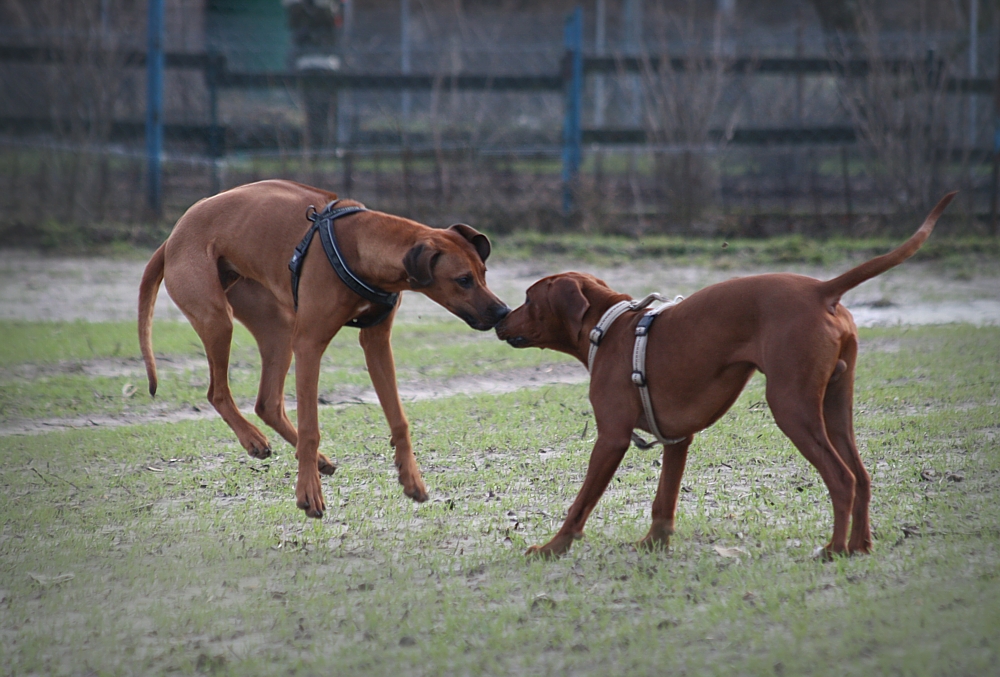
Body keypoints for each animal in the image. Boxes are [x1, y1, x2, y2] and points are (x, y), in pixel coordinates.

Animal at [139, 180, 508, 516]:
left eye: (484, 272)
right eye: (463, 280)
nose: (502, 311)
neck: (361, 246)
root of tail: (173, 236)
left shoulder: (376, 342)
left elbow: (399, 419)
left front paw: (411, 478)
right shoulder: (309, 344)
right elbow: (310, 427)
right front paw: (307, 493)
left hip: (277, 328)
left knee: (267, 403)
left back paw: (318, 460)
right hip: (218, 318)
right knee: (217, 391)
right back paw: (255, 440)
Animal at [496, 193, 956, 556]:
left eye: (528, 298)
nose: (499, 316)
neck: (608, 328)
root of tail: (821, 290)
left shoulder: (611, 438)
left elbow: (581, 503)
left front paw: (553, 547)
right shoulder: (677, 439)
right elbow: (663, 502)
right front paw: (653, 544)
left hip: (791, 406)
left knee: (842, 479)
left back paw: (834, 549)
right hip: (836, 406)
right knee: (861, 476)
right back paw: (860, 545)